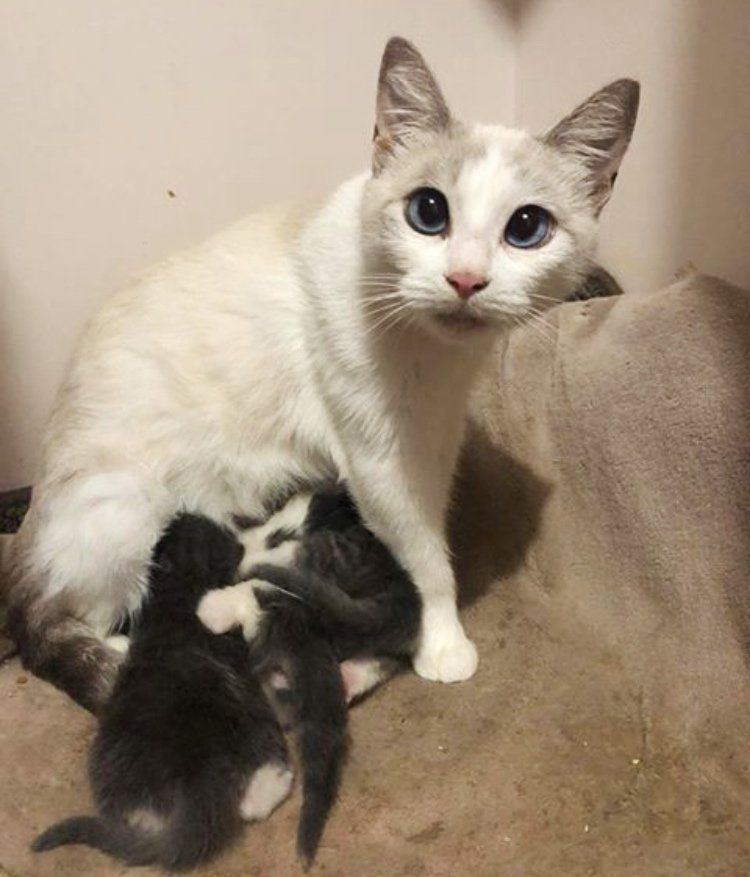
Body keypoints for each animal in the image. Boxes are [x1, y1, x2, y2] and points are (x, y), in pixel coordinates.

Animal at [4, 36, 640, 712]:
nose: (466, 279)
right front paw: (442, 642)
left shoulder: (434, 436)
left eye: (526, 228)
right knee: (55, 625)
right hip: (125, 507)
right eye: (428, 211)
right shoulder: (379, 458)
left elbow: (432, 530)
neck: (432, 357)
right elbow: (423, 556)